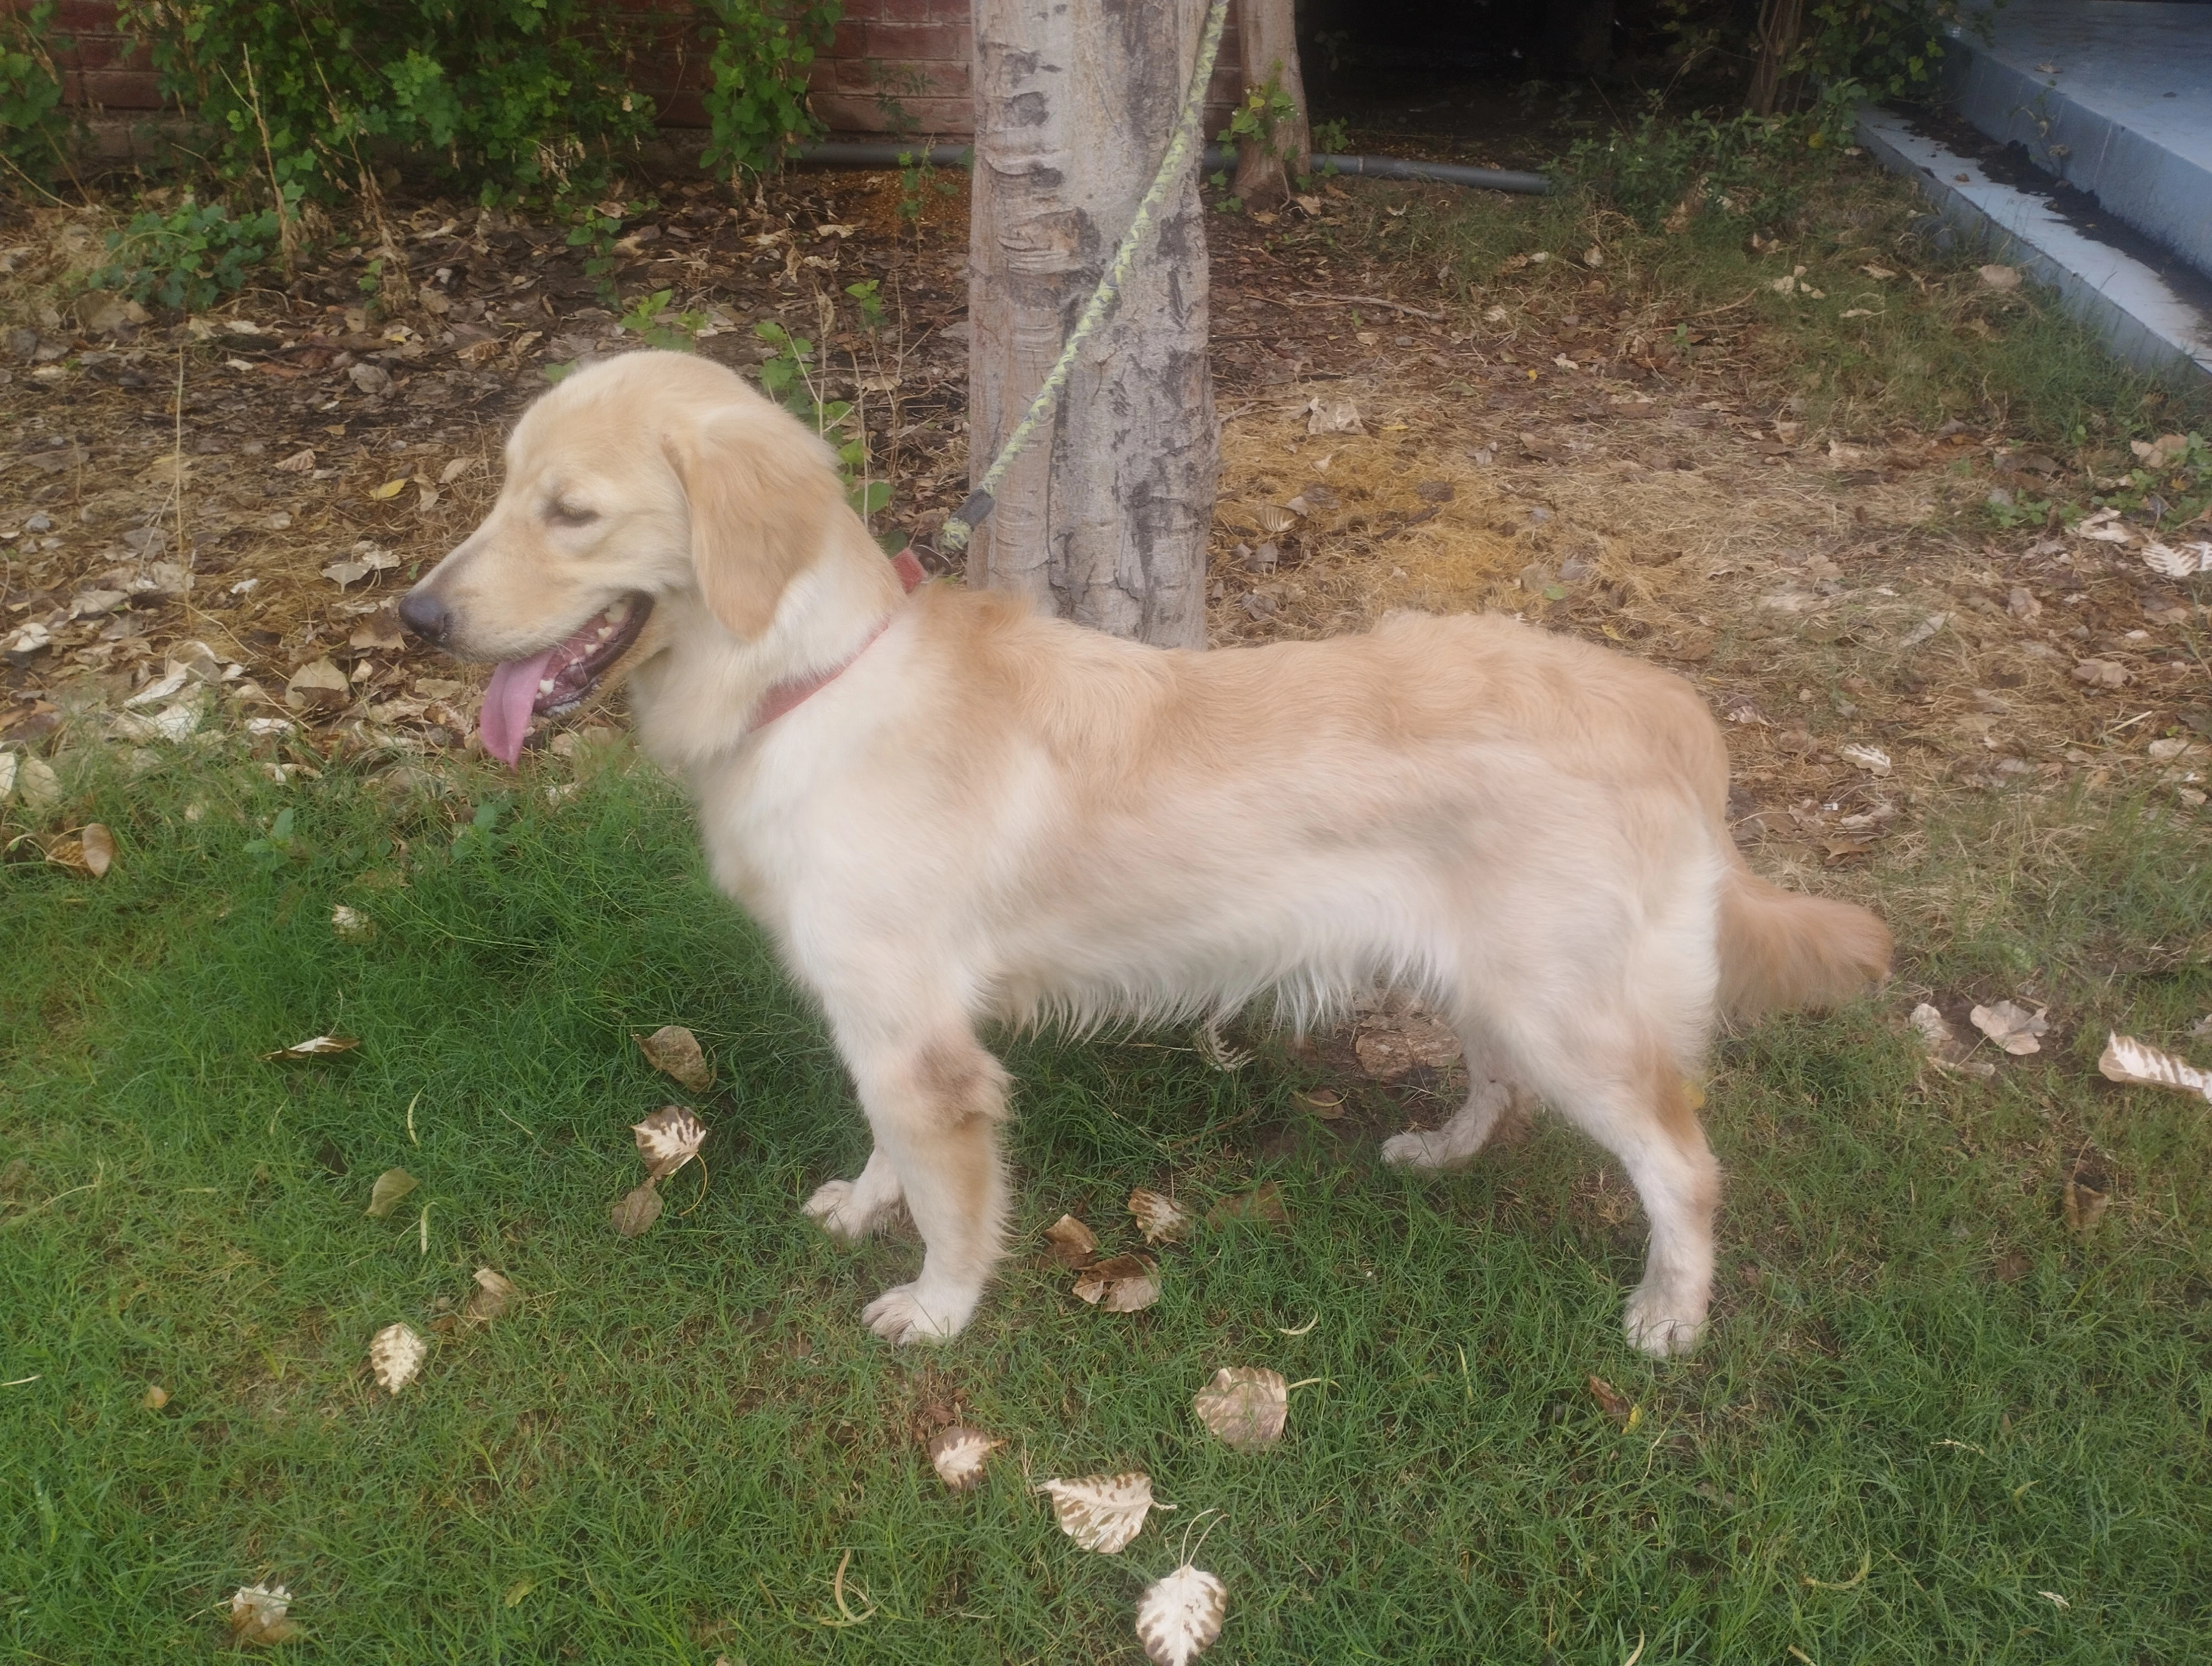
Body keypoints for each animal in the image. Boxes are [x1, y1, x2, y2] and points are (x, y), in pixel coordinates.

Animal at [398, 347, 1885, 1354]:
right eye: (502, 489)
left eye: (572, 511)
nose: (414, 615)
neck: (810, 679)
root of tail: (1667, 711)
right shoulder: (883, 1020)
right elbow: (888, 1149)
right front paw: (863, 1205)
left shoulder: (922, 1043)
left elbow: (952, 1197)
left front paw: (935, 1306)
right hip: (1498, 980)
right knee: (1500, 1083)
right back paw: (1440, 1151)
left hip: (1571, 1007)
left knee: (1683, 1167)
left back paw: (1668, 1312)